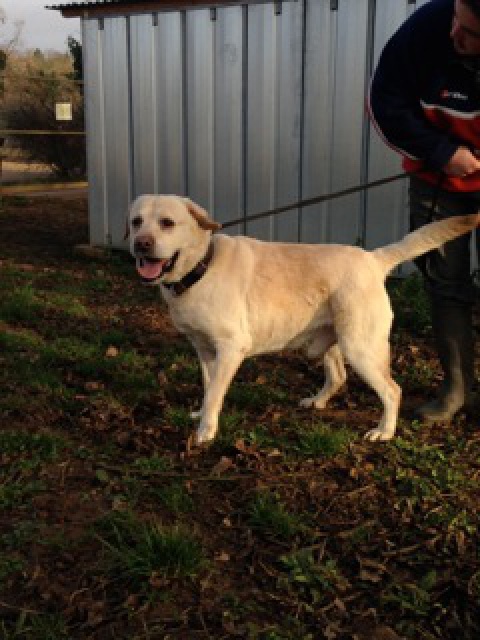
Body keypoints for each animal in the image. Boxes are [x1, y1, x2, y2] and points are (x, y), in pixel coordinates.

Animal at [125, 195, 478, 444]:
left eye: (167, 223)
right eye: (136, 221)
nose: (140, 244)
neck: (201, 268)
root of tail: (373, 259)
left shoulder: (231, 348)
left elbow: (215, 393)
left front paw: (205, 432)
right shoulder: (204, 350)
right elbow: (208, 386)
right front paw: (201, 415)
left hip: (360, 348)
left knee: (393, 390)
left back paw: (385, 432)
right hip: (330, 343)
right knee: (338, 377)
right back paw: (317, 402)